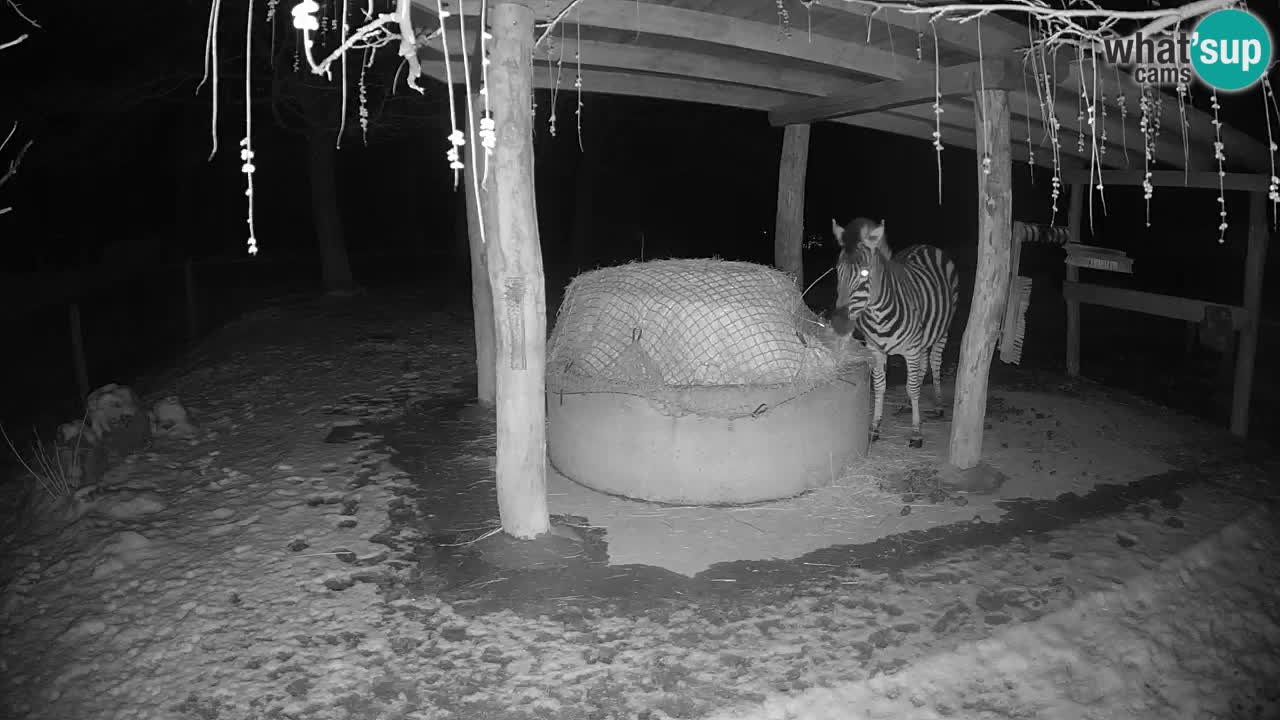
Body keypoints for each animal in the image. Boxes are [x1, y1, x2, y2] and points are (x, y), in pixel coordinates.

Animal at [829, 215, 962, 445]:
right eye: (839, 270)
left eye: (864, 272)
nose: (839, 325)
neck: (878, 314)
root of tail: (925, 245)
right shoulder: (875, 350)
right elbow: (880, 386)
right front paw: (875, 427)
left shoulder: (911, 349)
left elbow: (914, 386)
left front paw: (916, 432)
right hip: (923, 337)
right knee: (923, 366)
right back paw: (908, 405)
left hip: (941, 331)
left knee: (934, 363)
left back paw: (937, 405)